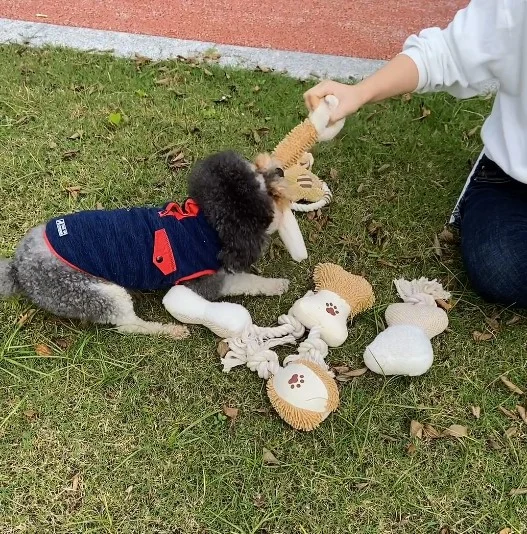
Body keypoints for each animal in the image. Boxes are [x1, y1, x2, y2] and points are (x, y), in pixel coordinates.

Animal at [0, 151, 292, 340]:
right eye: (266, 191)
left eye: (256, 168)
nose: (280, 170)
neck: (208, 223)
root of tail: (17, 269)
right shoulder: (204, 281)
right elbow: (245, 280)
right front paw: (277, 284)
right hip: (94, 293)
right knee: (128, 325)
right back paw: (169, 330)